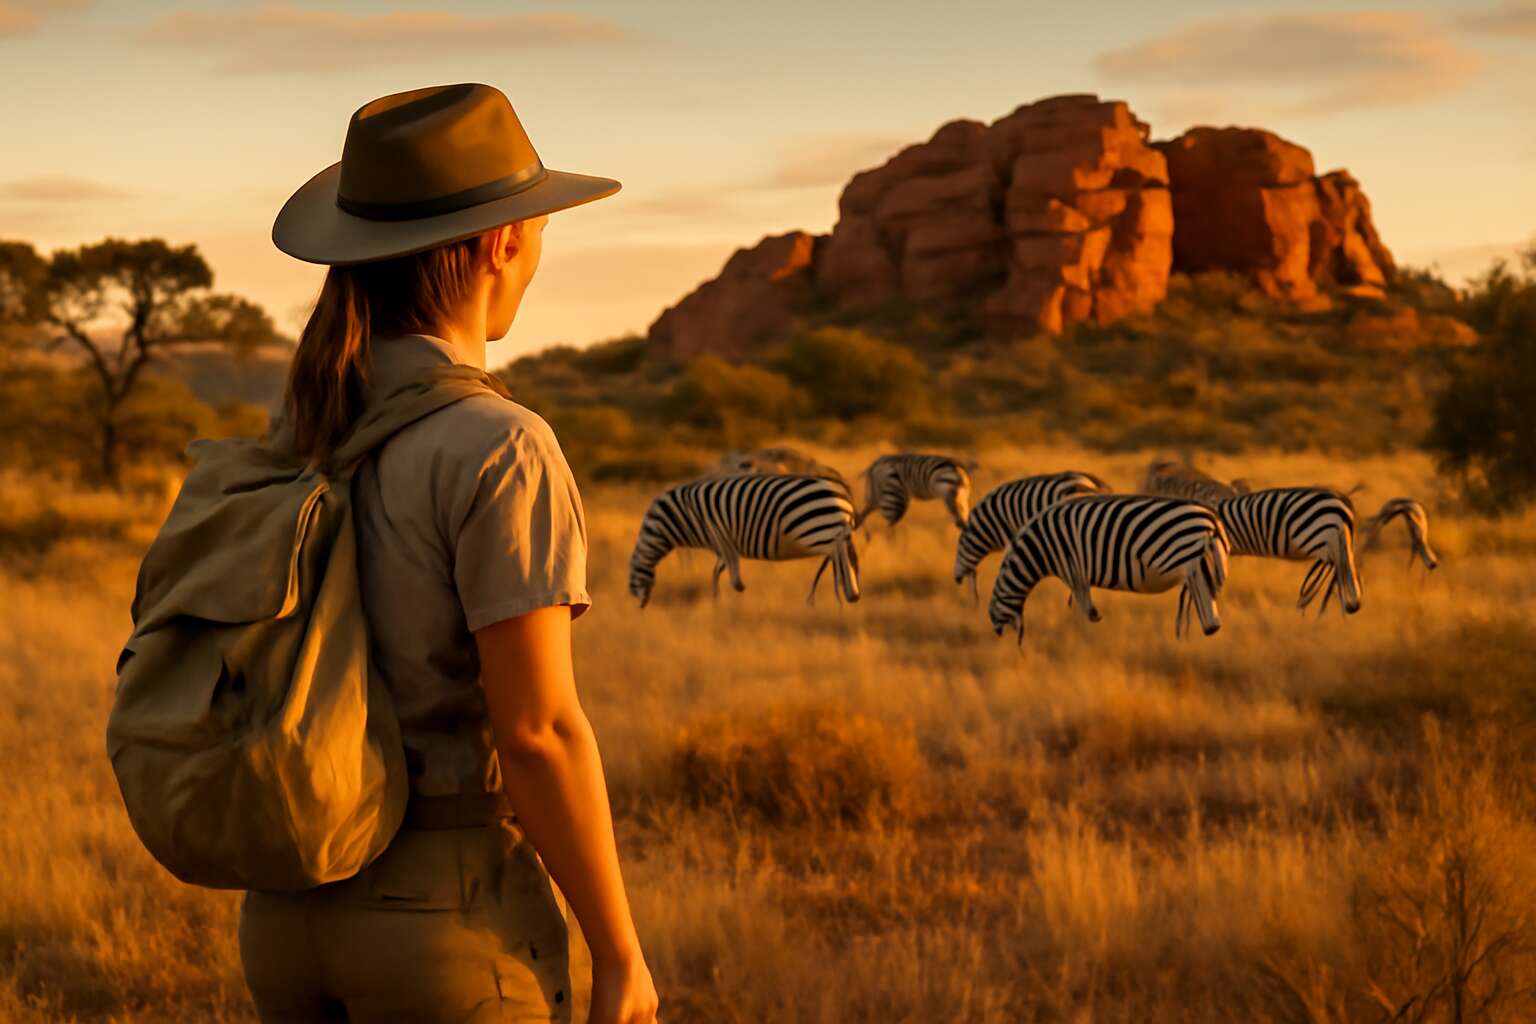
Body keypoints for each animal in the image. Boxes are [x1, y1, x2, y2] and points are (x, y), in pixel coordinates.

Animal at [629, 474, 860, 607]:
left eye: (631, 578)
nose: (640, 607)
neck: (670, 521)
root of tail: (844, 496)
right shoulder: (721, 542)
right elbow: (718, 571)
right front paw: (718, 598)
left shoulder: (718, 534)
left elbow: (726, 570)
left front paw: (730, 593)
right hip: (830, 530)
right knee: (843, 556)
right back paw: (848, 591)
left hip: (819, 530)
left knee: (837, 551)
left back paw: (844, 592)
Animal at [988, 495, 1230, 642]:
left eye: (992, 613)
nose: (999, 636)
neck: (1040, 547)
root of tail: (1212, 519)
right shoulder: (1076, 570)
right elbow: (1080, 603)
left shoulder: (1072, 567)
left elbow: (1083, 605)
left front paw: (1084, 630)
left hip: (1192, 561)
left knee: (1202, 593)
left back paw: (1209, 629)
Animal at [1211, 488, 1362, 614]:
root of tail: (1343, 505)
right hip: (1338, 542)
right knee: (1343, 570)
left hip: (1320, 538)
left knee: (1333, 565)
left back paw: (1310, 597)